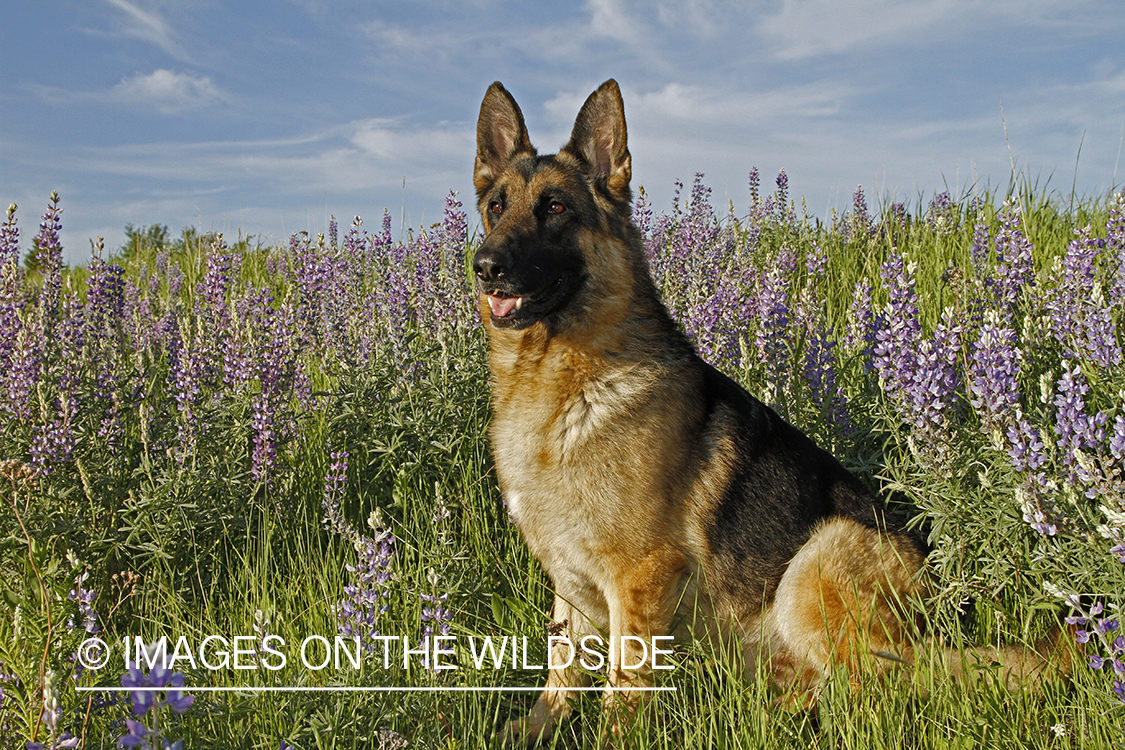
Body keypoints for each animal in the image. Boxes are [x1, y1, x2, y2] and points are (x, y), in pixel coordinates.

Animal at [472, 77, 1044, 746]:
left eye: (557, 208)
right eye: (496, 206)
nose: (485, 265)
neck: (559, 381)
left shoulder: (640, 578)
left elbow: (623, 685)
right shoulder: (570, 586)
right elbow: (560, 671)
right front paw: (533, 729)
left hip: (813, 568)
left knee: (875, 690)